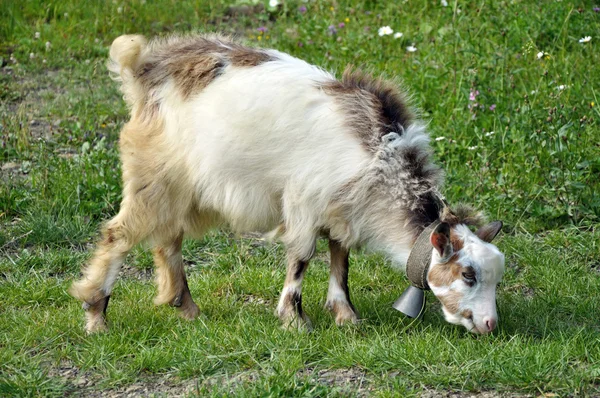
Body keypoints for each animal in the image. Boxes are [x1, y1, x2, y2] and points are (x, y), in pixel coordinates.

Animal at [69, 32, 506, 334]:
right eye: (468, 274)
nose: (490, 325)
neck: (379, 155)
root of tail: (143, 69)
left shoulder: (342, 210)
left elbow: (340, 260)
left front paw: (346, 315)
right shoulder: (304, 202)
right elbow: (301, 257)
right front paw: (295, 320)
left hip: (180, 190)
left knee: (167, 239)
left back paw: (187, 309)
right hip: (152, 179)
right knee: (119, 235)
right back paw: (96, 316)